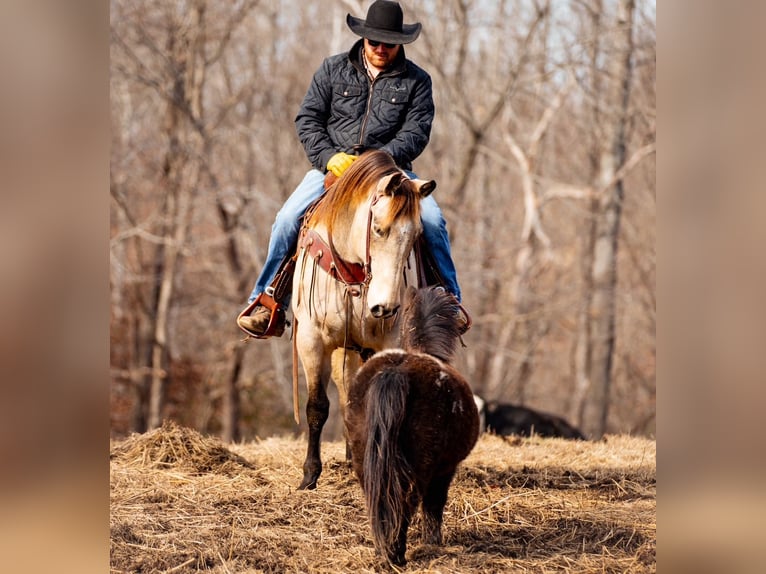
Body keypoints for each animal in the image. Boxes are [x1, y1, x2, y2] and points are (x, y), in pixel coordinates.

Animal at [291, 150, 436, 490]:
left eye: (416, 236)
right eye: (378, 229)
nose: (385, 308)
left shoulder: (388, 341)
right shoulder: (311, 341)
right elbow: (317, 406)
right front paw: (309, 475)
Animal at [344, 286, 479, 567]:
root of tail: (395, 373)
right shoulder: (445, 469)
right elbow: (434, 506)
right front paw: (433, 542)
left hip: (364, 459)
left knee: (378, 501)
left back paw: (383, 551)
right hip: (420, 467)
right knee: (407, 502)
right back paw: (395, 554)